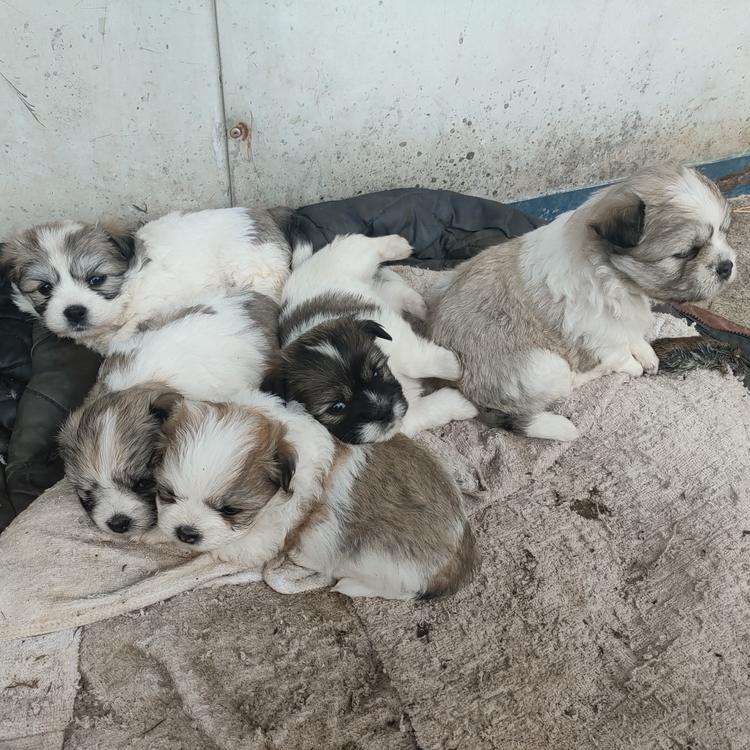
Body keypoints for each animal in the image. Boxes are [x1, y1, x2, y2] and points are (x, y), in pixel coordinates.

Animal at [262, 233, 477, 443]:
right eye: (337, 407)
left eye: (375, 373)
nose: (385, 411)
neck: (396, 374)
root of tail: (300, 267)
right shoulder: (401, 420)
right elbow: (429, 409)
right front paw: (462, 403)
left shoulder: (394, 333)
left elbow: (416, 361)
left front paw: (457, 368)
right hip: (379, 290)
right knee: (395, 288)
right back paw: (420, 305)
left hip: (352, 258)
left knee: (367, 244)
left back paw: (400, 246)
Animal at [429, 164, 736, 441]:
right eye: (686, 252)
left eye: (724, 232)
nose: (727, 266)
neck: (617, 278)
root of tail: (459, 385)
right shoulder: (598, 331)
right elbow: (619, 353)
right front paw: (633, 365)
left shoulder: (622, 318)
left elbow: (632, 335)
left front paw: (646, 352)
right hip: (549, 366)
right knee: (565, 384)